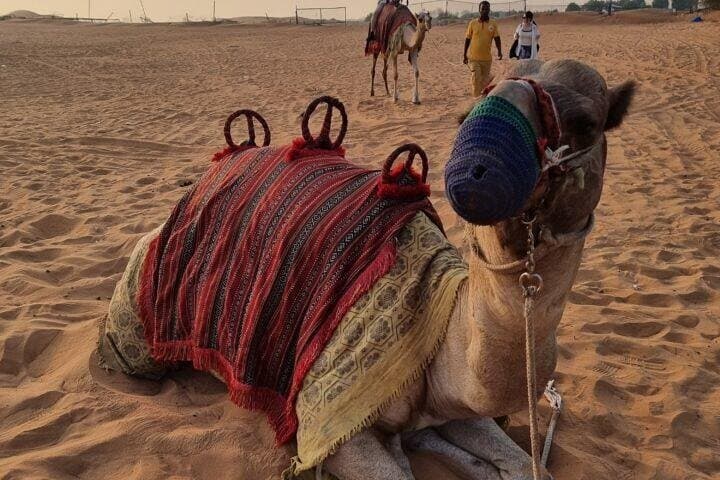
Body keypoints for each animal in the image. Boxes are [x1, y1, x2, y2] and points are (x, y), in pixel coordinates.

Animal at [97, 59, 635, 479]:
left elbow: (528, 464)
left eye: (587, 122)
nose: (478, 172)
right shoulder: (330, 422)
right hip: (137, 323)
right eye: (468, 112)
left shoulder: (448, 404)